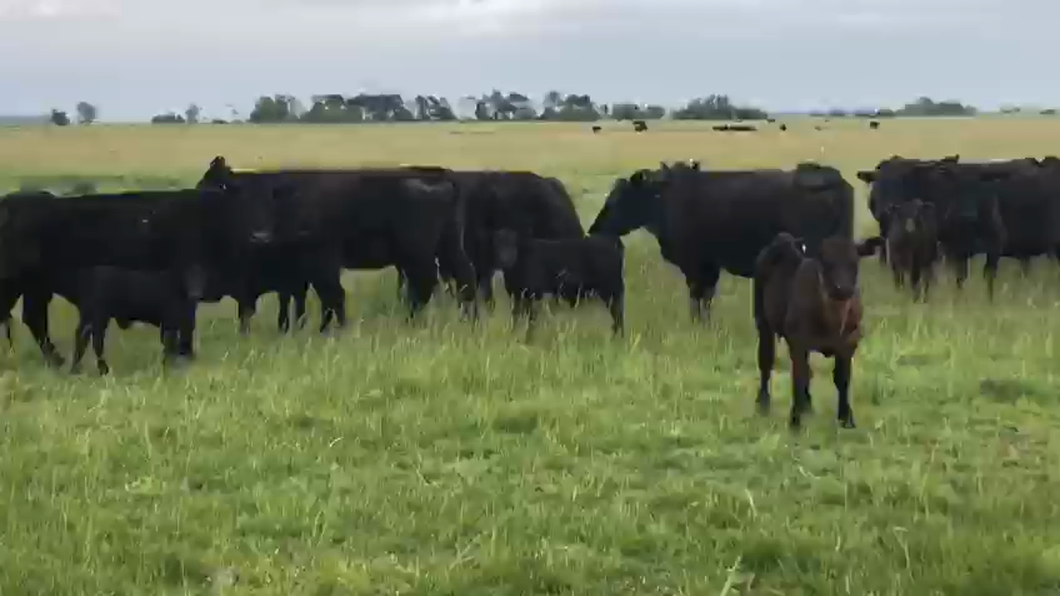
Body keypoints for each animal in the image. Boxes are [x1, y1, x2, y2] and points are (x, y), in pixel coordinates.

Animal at [50, 263, 203, 371]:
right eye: (189, 277)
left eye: (200, 277)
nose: (195, 292)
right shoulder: (170, 323)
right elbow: (170, 345)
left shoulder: (178, 324)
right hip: (97, 317)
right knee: (92, 340)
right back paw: (99, 369)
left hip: (93, 318)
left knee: (85, 337)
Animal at [585, 156, 856, 316]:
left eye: (616, 200)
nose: (594, 229)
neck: (665, 198)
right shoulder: (709, 266)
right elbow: (706, 298)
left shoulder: (696, 264)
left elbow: (698, 298)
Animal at [754, 231, 886, 426]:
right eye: (826, 263)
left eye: (854, 263)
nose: (842, 288)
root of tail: (782, 239)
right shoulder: (798, 342)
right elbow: (798, 378)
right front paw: (795, 421)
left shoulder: (849, 342)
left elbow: (842, 379)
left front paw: (846, 418)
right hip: (762, 320)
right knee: (766, 360)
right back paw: (763, 403)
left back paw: (807, 406)